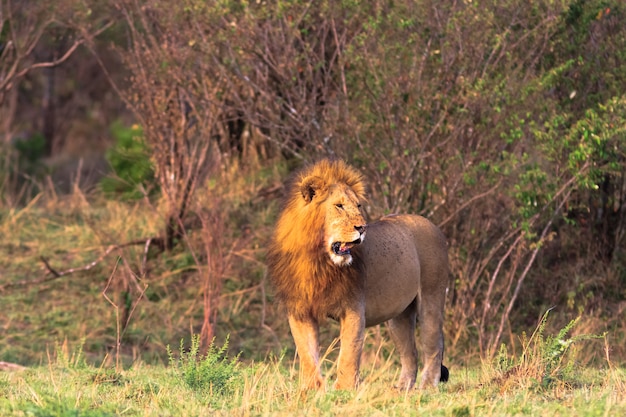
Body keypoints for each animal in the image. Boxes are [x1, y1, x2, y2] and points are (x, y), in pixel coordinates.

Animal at [266, 159, 446, 390]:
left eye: (358, 205)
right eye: (339, 206)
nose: (362, 228)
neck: (317, 260)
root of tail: (434, 226)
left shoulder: (353, 308)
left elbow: (349, 353)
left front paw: (344, 389)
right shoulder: (300, 310)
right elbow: (307, 353)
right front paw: (312, 389)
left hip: (431, 297)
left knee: (434, 346)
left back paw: (427, 387)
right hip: (399, 315)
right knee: (410, 352)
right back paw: (401, 389)